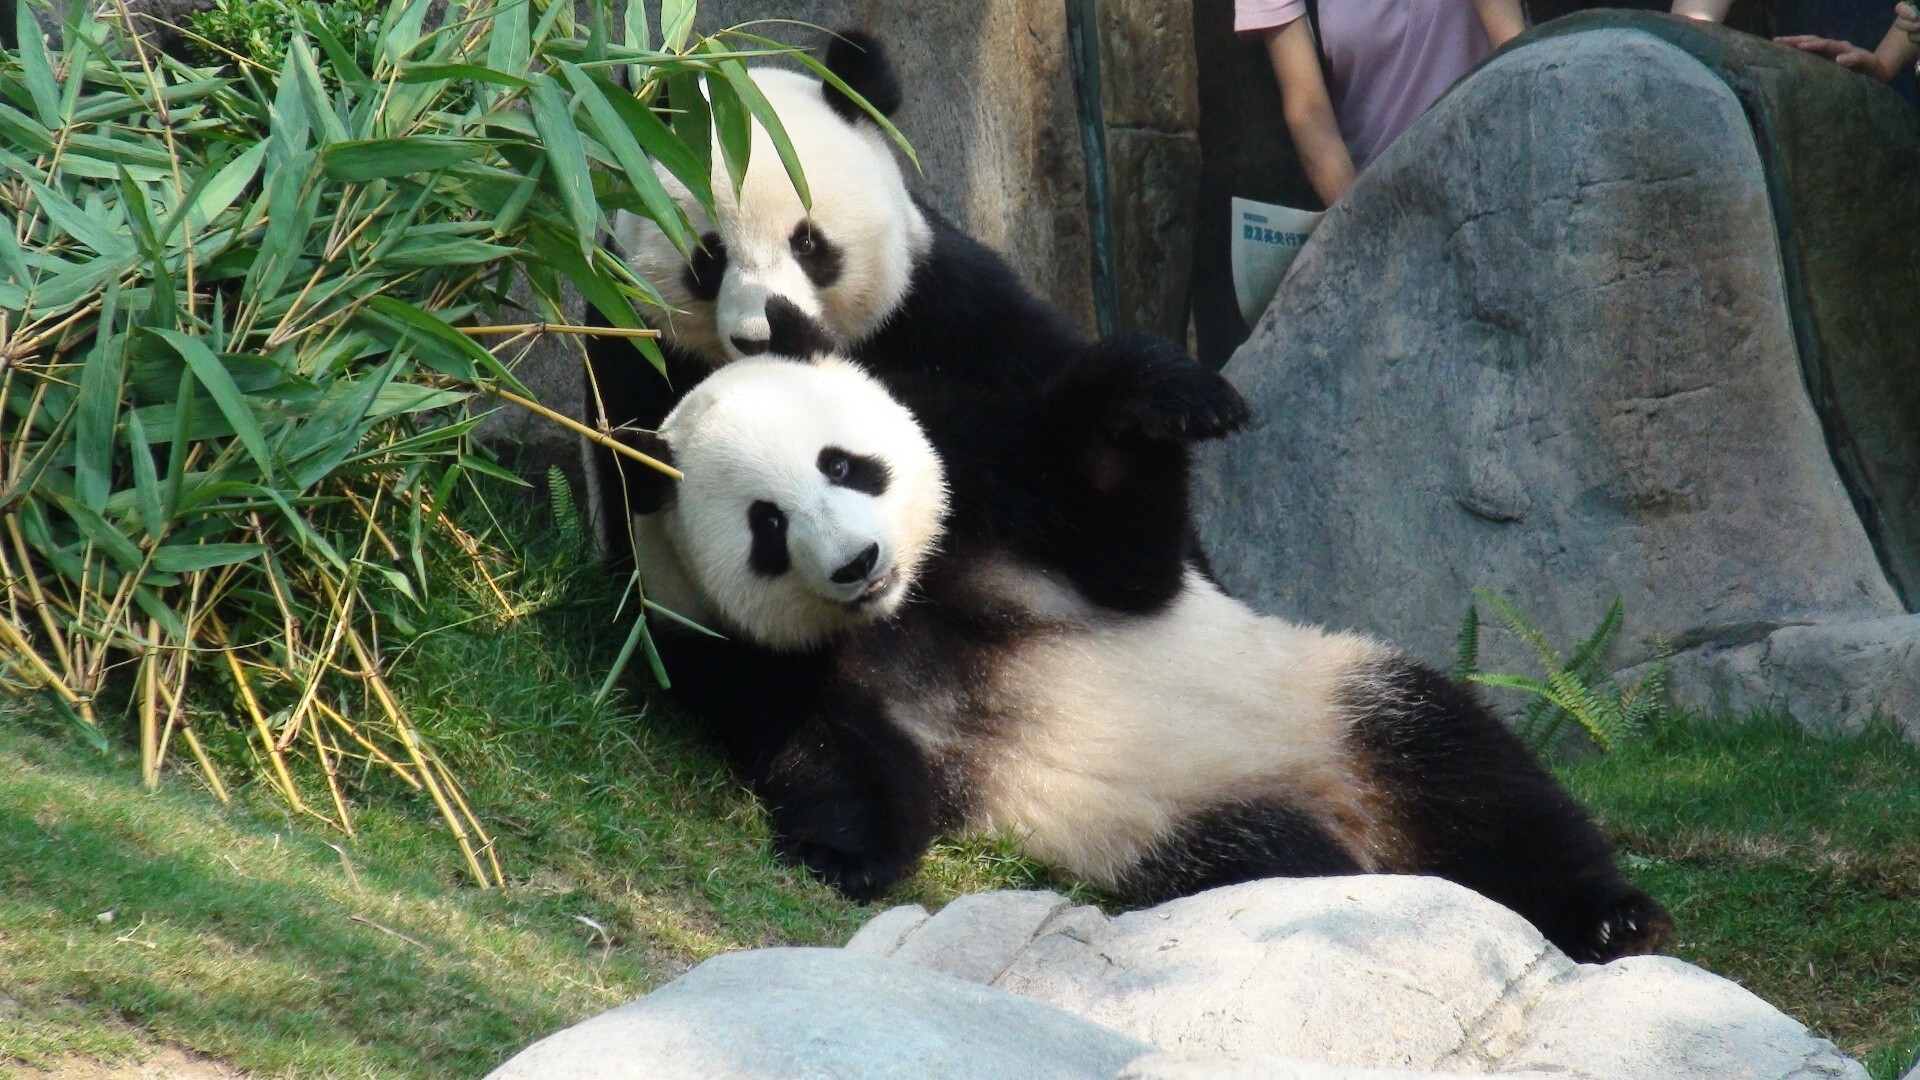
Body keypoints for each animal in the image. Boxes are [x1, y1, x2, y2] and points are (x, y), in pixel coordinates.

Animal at [619, 351, 1674, 966]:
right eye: (766, 525)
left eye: (846, 464)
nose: (856, 560)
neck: (907, 607)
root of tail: (1351, 816)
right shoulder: (750, 656)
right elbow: (832, 750)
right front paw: (837, 853)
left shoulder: (995, 489)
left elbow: (1128, 552)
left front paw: (1171, 399)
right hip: (1190, 828)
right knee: (1279, 861)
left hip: (1329, 700)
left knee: (1471, 774)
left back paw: (1614, 918)